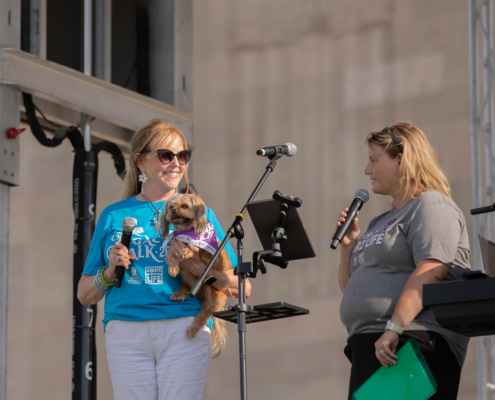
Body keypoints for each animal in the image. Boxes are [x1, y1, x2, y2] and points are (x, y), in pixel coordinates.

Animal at [162, 193, 233, 356]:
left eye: (185, 206)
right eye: (171, 206)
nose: (173, 211)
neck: (187, 231)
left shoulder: (211, 254)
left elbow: (196, 246)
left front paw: (187, 251)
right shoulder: (174, 243)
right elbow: (170, 254)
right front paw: (173, 267)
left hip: (213, 297)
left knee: (204, 315)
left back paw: (193, 329)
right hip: (188, 282)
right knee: (184, 286)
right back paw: (179, 294)